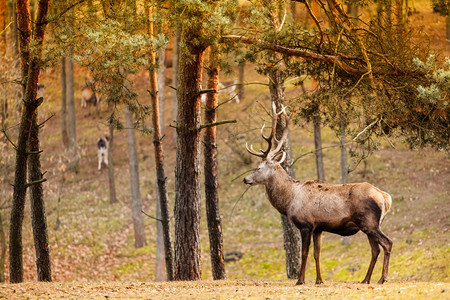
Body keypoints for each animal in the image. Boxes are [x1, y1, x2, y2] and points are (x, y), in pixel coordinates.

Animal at [243, 104, 394, 284]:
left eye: (258, 168)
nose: (245, 179)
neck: (288, 200)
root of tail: (385, 197)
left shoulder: (306, 224)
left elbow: (304, 253)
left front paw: (300, 280)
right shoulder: (318, 228)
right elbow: (317, 254)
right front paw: (319, 280)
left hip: (369, 222)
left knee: (387, 243)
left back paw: (382, 278)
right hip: (371, 225)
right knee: (375, 249)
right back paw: (366, 279)